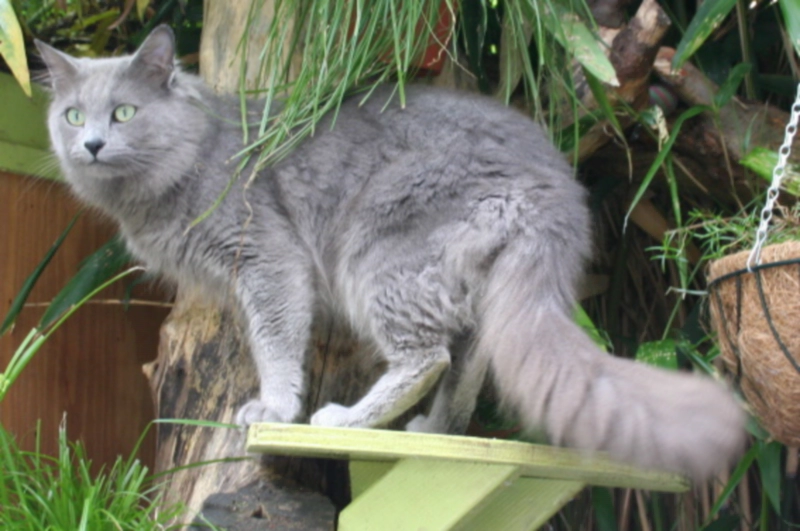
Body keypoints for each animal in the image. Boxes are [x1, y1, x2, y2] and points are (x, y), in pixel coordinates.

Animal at [34, 26, 748, 482]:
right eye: (71, 116)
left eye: (124, 113)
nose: (91, 144)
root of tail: (558, 190)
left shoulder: (268, 260)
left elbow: (275, 346)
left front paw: (275, 410)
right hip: (473, 284)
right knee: (467, 363)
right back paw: (431, 433)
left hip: (376, 254)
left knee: (427, 357)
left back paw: (345, 420)